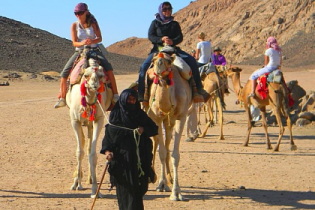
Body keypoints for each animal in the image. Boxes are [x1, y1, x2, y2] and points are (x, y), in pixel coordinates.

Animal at [65, 57, 112, 197]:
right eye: (86, 75)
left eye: (101, 76)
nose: (94, 85)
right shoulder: (75, 121)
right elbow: (79, 152)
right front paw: (76, 184)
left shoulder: (99, 120)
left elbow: (92, 154)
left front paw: (95, 190)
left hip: (91, 124)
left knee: (89, 147)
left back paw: (91, 178)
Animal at [147, 51, 194, 201]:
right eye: (154, 60)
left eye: (168, 62)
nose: (158, 66)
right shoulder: (157, 119)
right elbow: (162, 152)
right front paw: (161, 184)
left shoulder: (182, 117)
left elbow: (175, 155)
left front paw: (176, 192)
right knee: (159, 144)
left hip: (170, 122)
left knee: (168, 144)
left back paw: (170, 179)